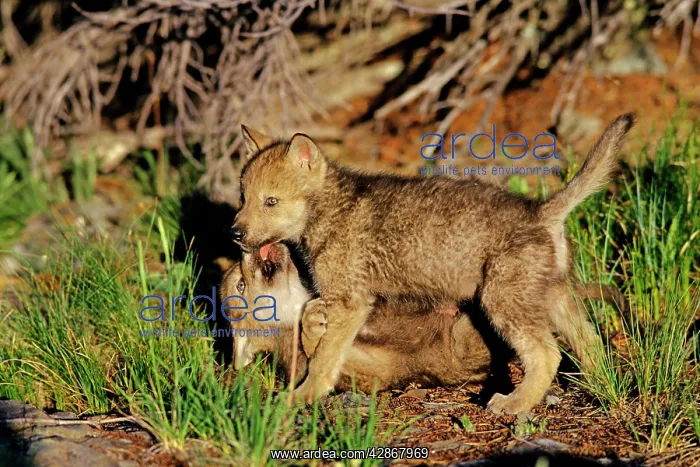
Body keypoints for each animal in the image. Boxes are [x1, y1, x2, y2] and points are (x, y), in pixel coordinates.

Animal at [232, 113, 634, 414]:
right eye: (243, 197)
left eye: (271, 201)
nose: (234, 233)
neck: (329, 210)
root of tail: (540, 211)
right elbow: (317, 331)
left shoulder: (350, 302)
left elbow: (322, 358)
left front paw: (302, 396)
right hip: (551, 297)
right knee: (590, 341)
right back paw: (601, 386)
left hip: (502, 300)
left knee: (547, 353)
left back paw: (514, 403)